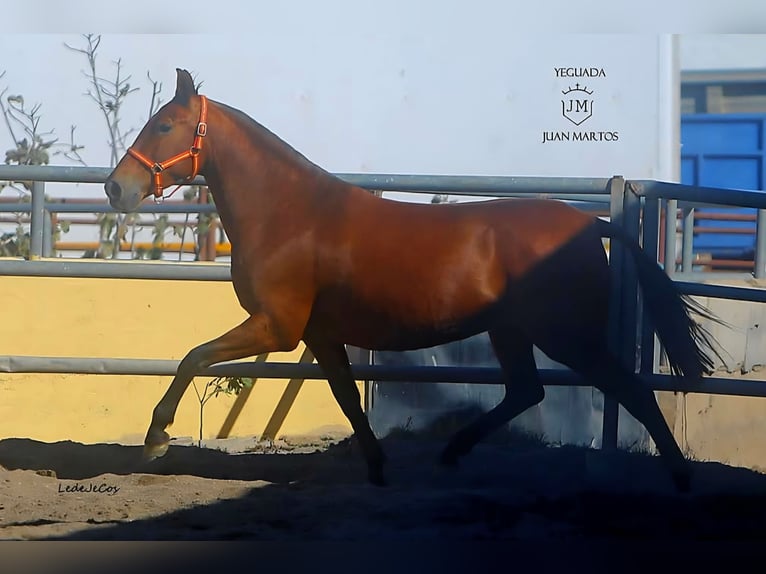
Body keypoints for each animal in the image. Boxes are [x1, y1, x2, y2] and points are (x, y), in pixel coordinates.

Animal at [105, 68, 722, 492]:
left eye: (164, 124)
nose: (115, 188)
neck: (291, 214)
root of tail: (590, 222)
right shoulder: (319, 335)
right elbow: (347, 398)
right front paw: (378, 468)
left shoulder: (276, 328)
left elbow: (194, 357)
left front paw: (155, 440)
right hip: (511, 331)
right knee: (527, 391)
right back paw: (453, 451)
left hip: (566, 335)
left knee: (631, 391)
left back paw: (681, 479)